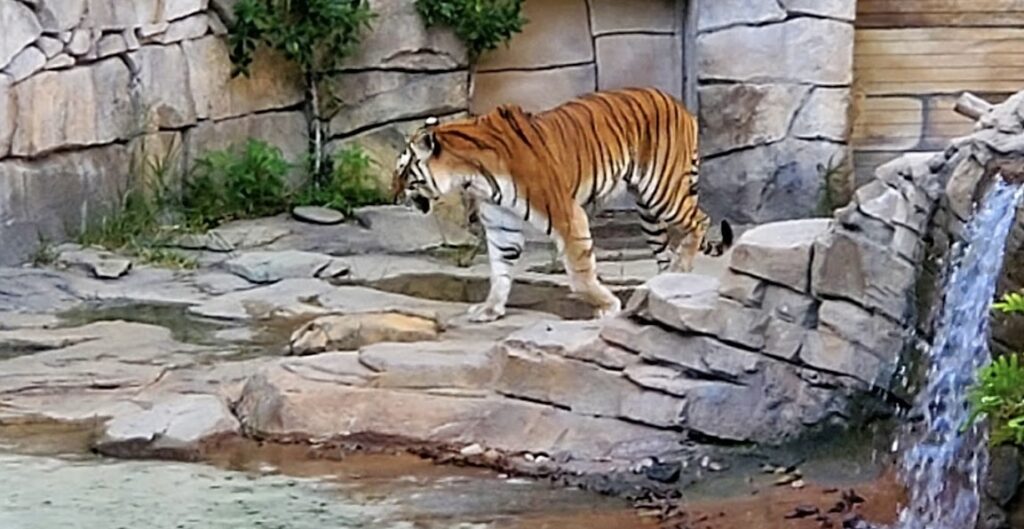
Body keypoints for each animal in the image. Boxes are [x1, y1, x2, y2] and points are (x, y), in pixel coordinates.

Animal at [392, 87, 733, 323]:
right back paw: (664, 282)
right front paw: (490, 309)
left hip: (663, 191)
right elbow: (499, 271)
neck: (471, 175)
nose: (393, 196)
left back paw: (680, 268)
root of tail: (681, 106)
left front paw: (608, 307)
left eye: (404, 171)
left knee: (700, 221)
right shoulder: (502, 224)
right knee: (665, 247)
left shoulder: (566, 214)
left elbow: (580, 275)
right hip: (648, 209)